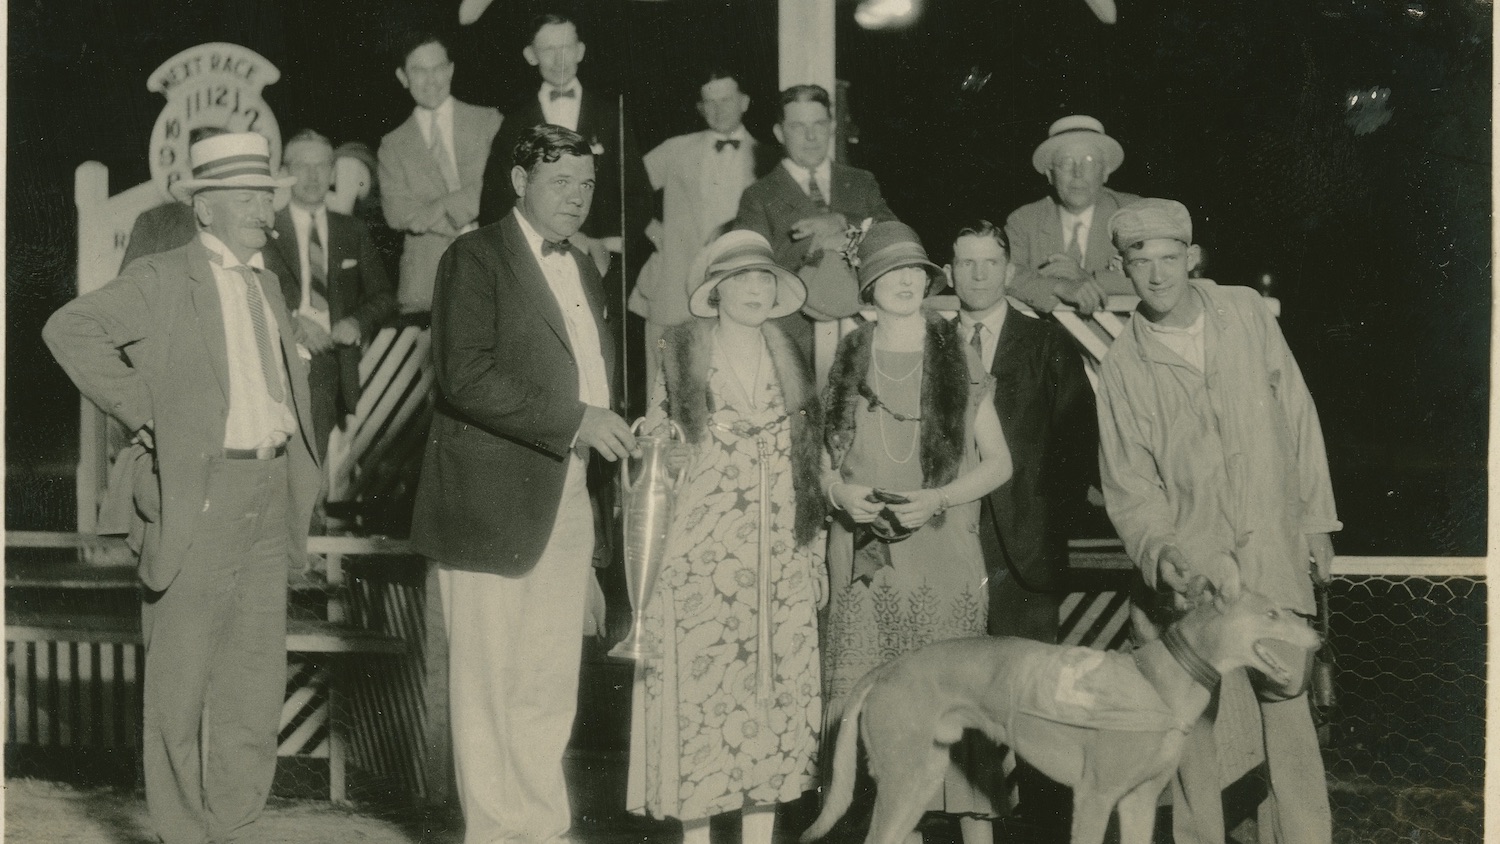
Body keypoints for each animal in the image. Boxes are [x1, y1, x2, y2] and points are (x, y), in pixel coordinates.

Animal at [804, 587, 1320, 844]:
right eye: (1272, 614)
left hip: (920, 780)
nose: (1318, 634)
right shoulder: (1094, 798)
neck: (1158, 681)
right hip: (902, 782)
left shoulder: (1138, 802)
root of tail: (887, 667)